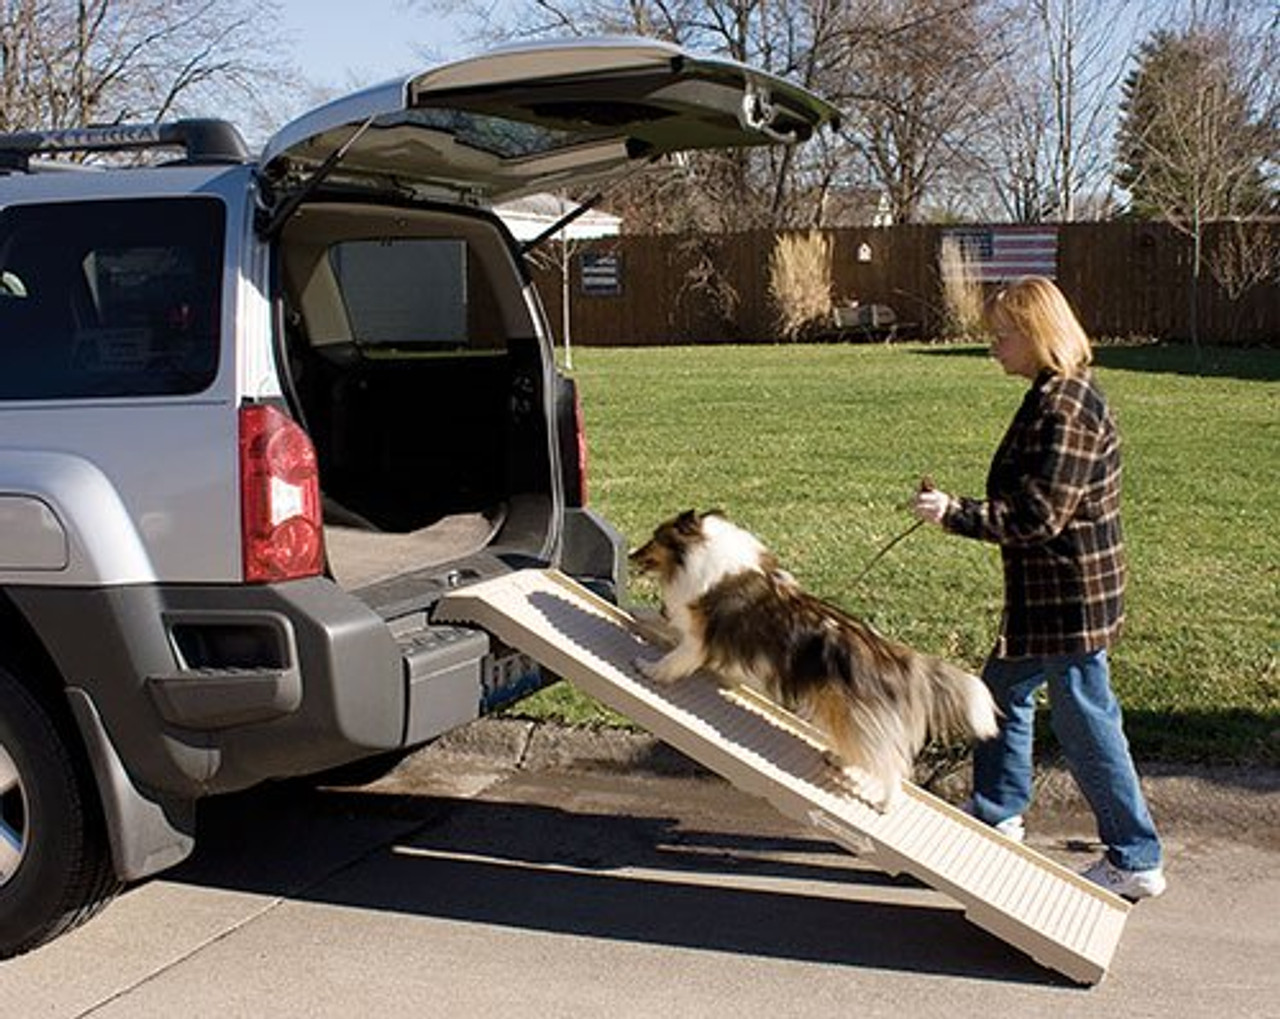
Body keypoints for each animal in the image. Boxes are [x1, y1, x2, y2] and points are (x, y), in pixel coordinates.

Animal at [629, 509, 998, 814]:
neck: (700, 553)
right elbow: (659, 622)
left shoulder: (697, 640)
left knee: (891, 766)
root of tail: (896, 657)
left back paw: (885, 803)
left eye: (655, 537)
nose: (631, 554)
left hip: (854, 718)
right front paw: (636, 612)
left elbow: (672, 660)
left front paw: (647, 669)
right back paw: (839, 759)